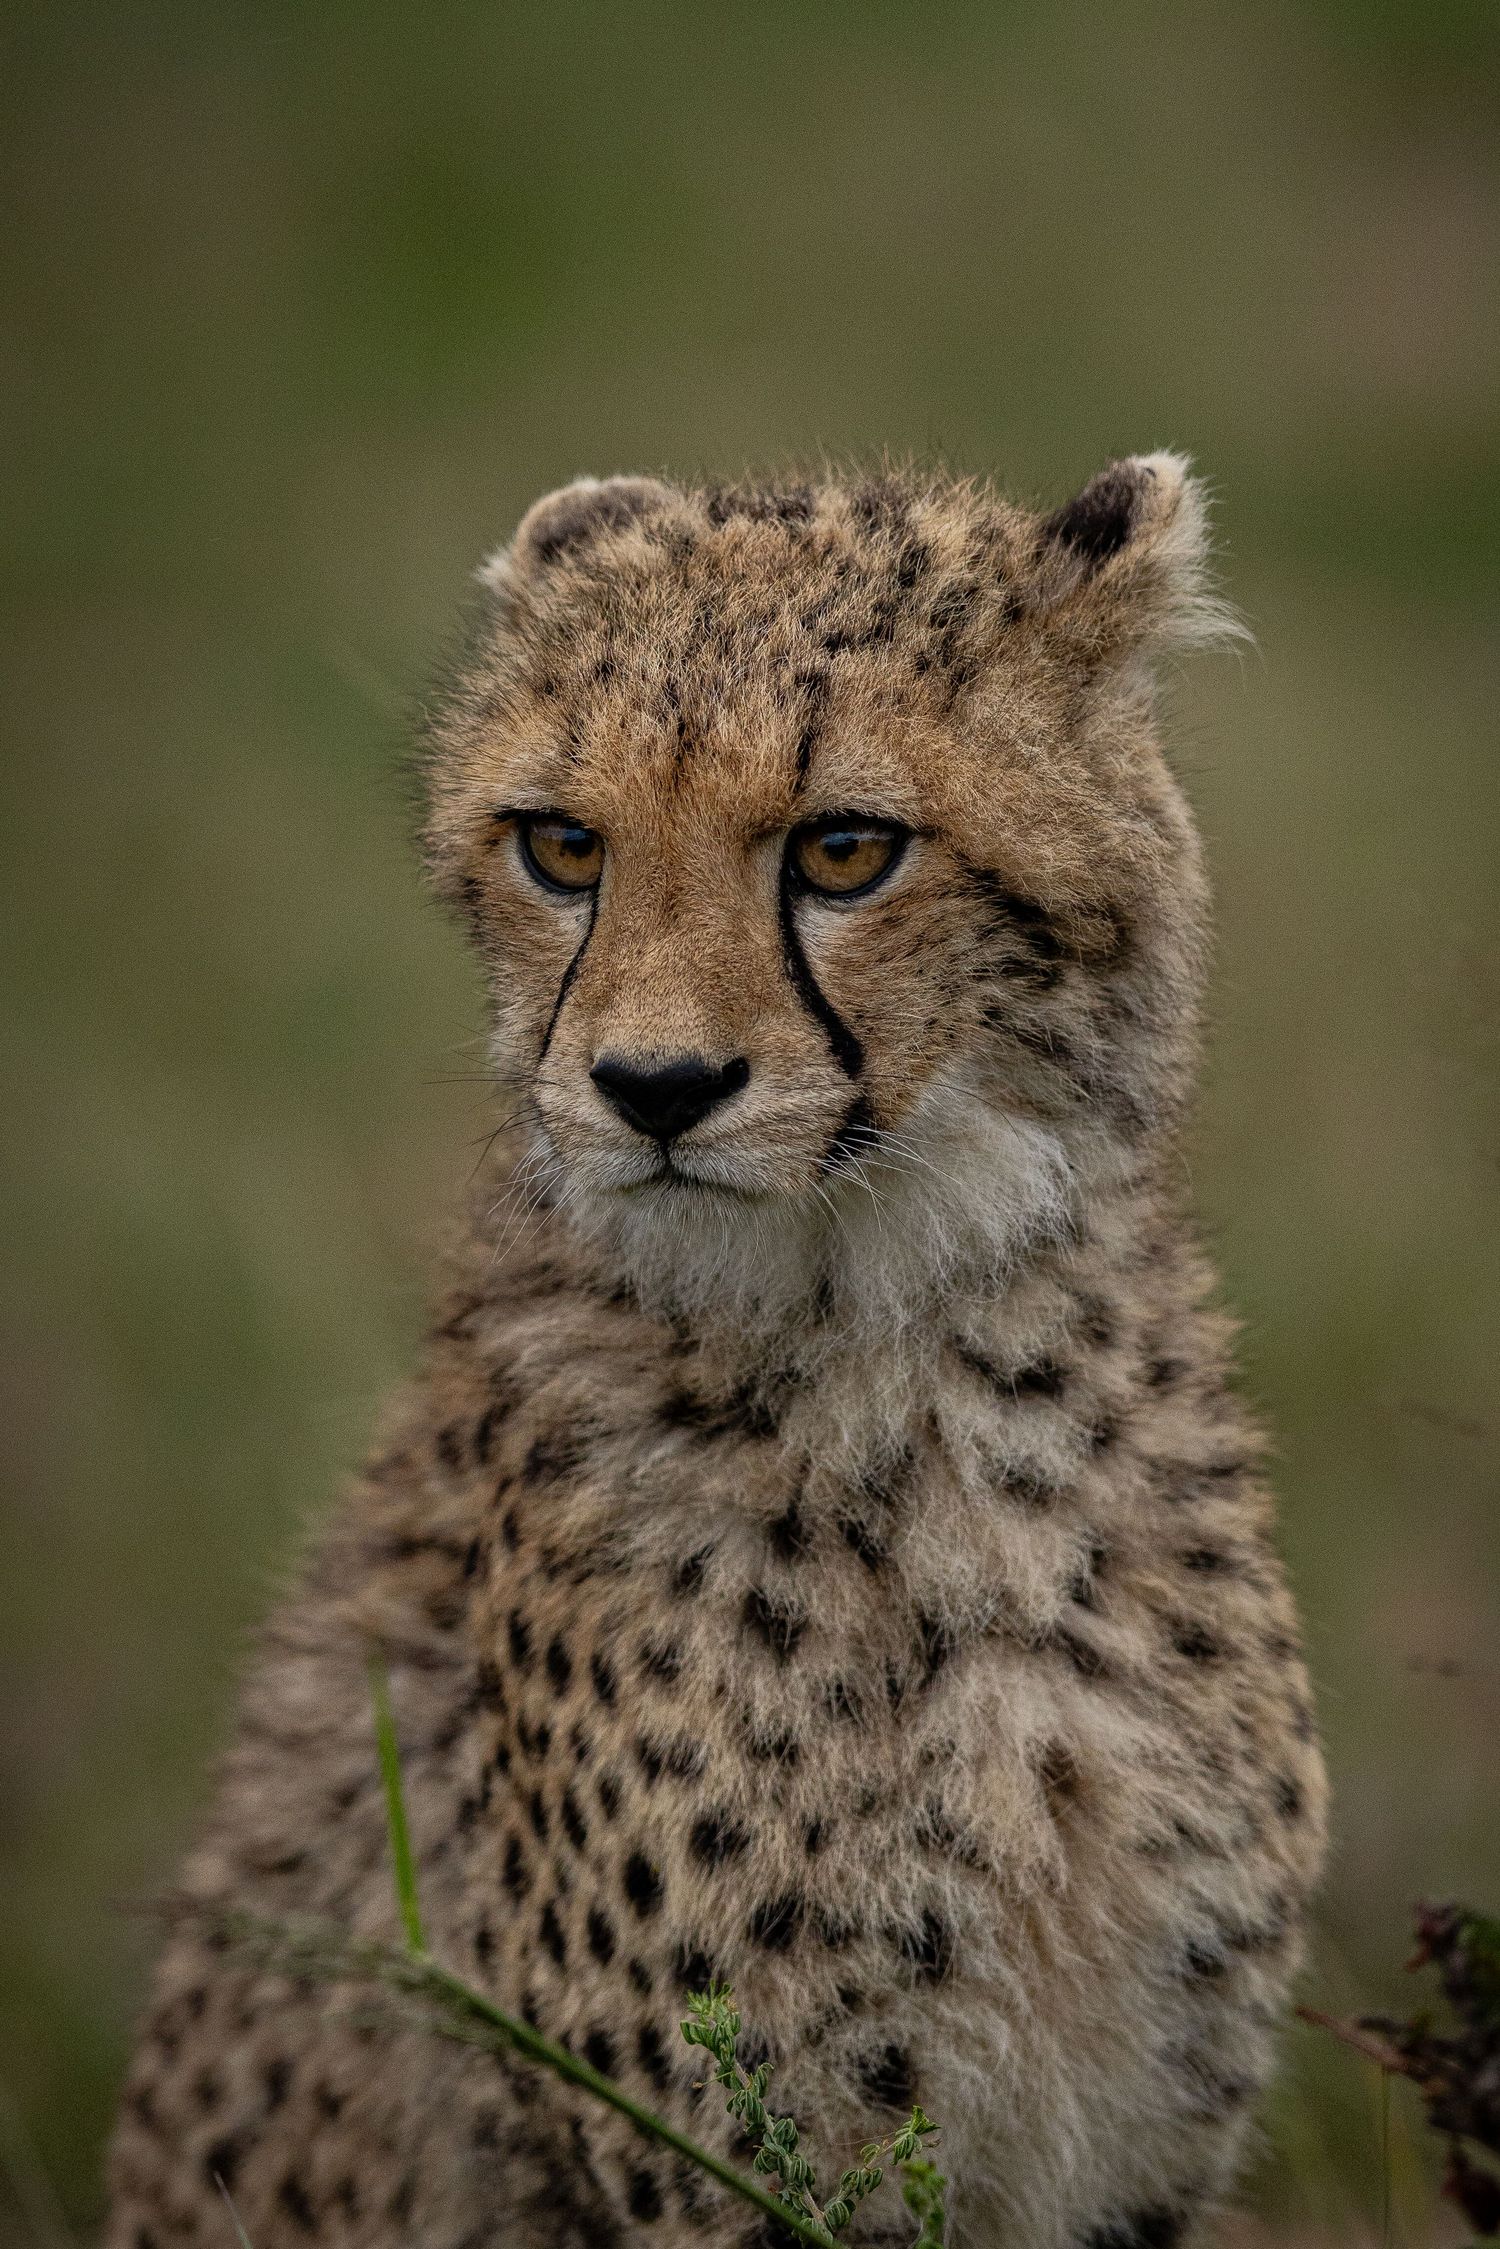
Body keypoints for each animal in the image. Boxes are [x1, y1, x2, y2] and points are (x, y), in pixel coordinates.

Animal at [105, 454, 1327, 2249]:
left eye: (845, 847)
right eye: (562, 844)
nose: (655, 1086)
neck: (908, 1358)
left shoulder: (1129, 2157)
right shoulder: (732, 2167)